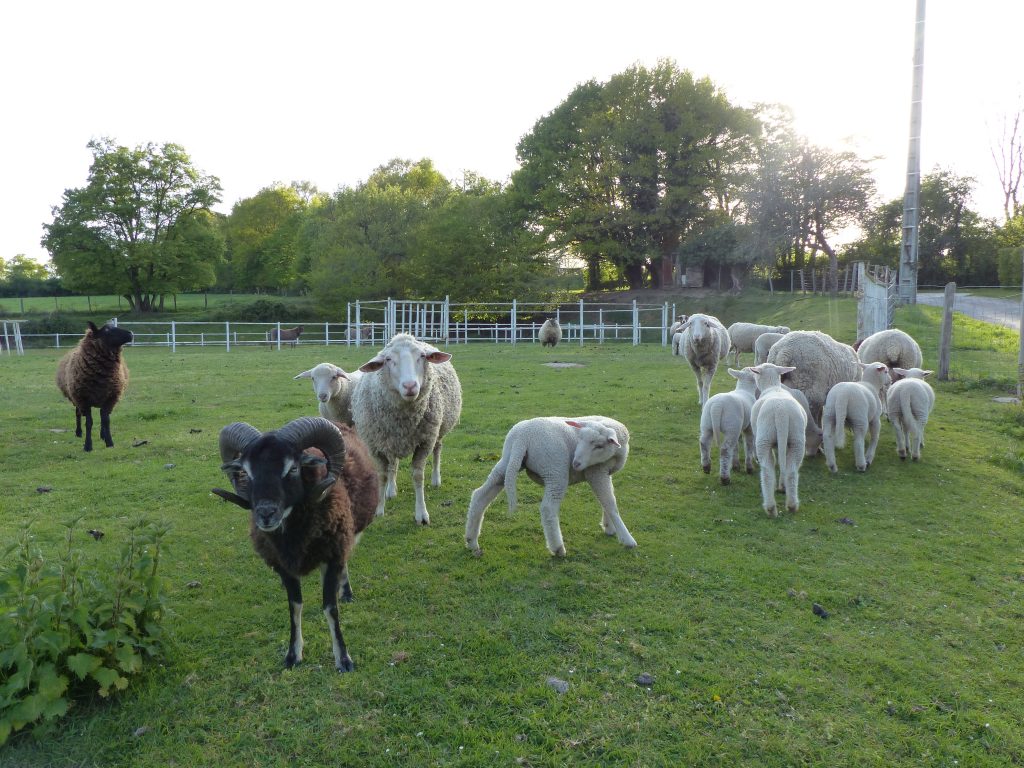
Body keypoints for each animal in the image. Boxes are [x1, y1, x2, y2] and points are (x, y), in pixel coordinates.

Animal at [56, 321, 134, 454]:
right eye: (107, 330)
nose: (131, 333)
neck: (102, 375)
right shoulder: (83, 399)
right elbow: (89, 422)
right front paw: (88, 446)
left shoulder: (110, 398)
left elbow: (106, 421)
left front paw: (109, 442)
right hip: (76, 398)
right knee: (78, 413)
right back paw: (78, 433)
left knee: (103, 417)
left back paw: (103, 435)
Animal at [214, 415, 378, 671]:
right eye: (246, 472)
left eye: (292, 468)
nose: (266, 513)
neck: (293, 536)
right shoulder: (283, 567)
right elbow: (295, 607)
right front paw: (293, 655)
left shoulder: (333, 554)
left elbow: (330, 608)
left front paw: (343, 659)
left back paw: (346, 592)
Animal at [352, 333, 464, 528]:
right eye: (388, 359)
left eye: (422, 356)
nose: (410, 386)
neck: (403, 421)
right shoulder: (374, 446)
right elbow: (382, 475)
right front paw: (378, 510)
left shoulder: (425, 442)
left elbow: (418, 476)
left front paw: (422, 514)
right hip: (389, 440)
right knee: (393, 463)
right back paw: (391, 490)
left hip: (438, 431)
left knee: (437, 450)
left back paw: (436, 479)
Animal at [468, 415, 634, 561]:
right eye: (579, 439)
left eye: (599, 446)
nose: (576, 464)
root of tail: (522, 438)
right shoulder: (596, 471)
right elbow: (610, 504)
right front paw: (627, 539)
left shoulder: (604, 472)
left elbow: (605, 501)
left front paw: (609, 527)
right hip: (555, 471)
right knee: (548, 508)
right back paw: (558, 548)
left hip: (507, 462)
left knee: (480, 496)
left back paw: (471, 541)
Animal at [749, 364, 802, 520]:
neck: (773, 387)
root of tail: (781, 412)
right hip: (797, 439)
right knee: (791, 471)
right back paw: (792, 505)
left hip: (764, 439)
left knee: (767, 472)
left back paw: (771, 508)